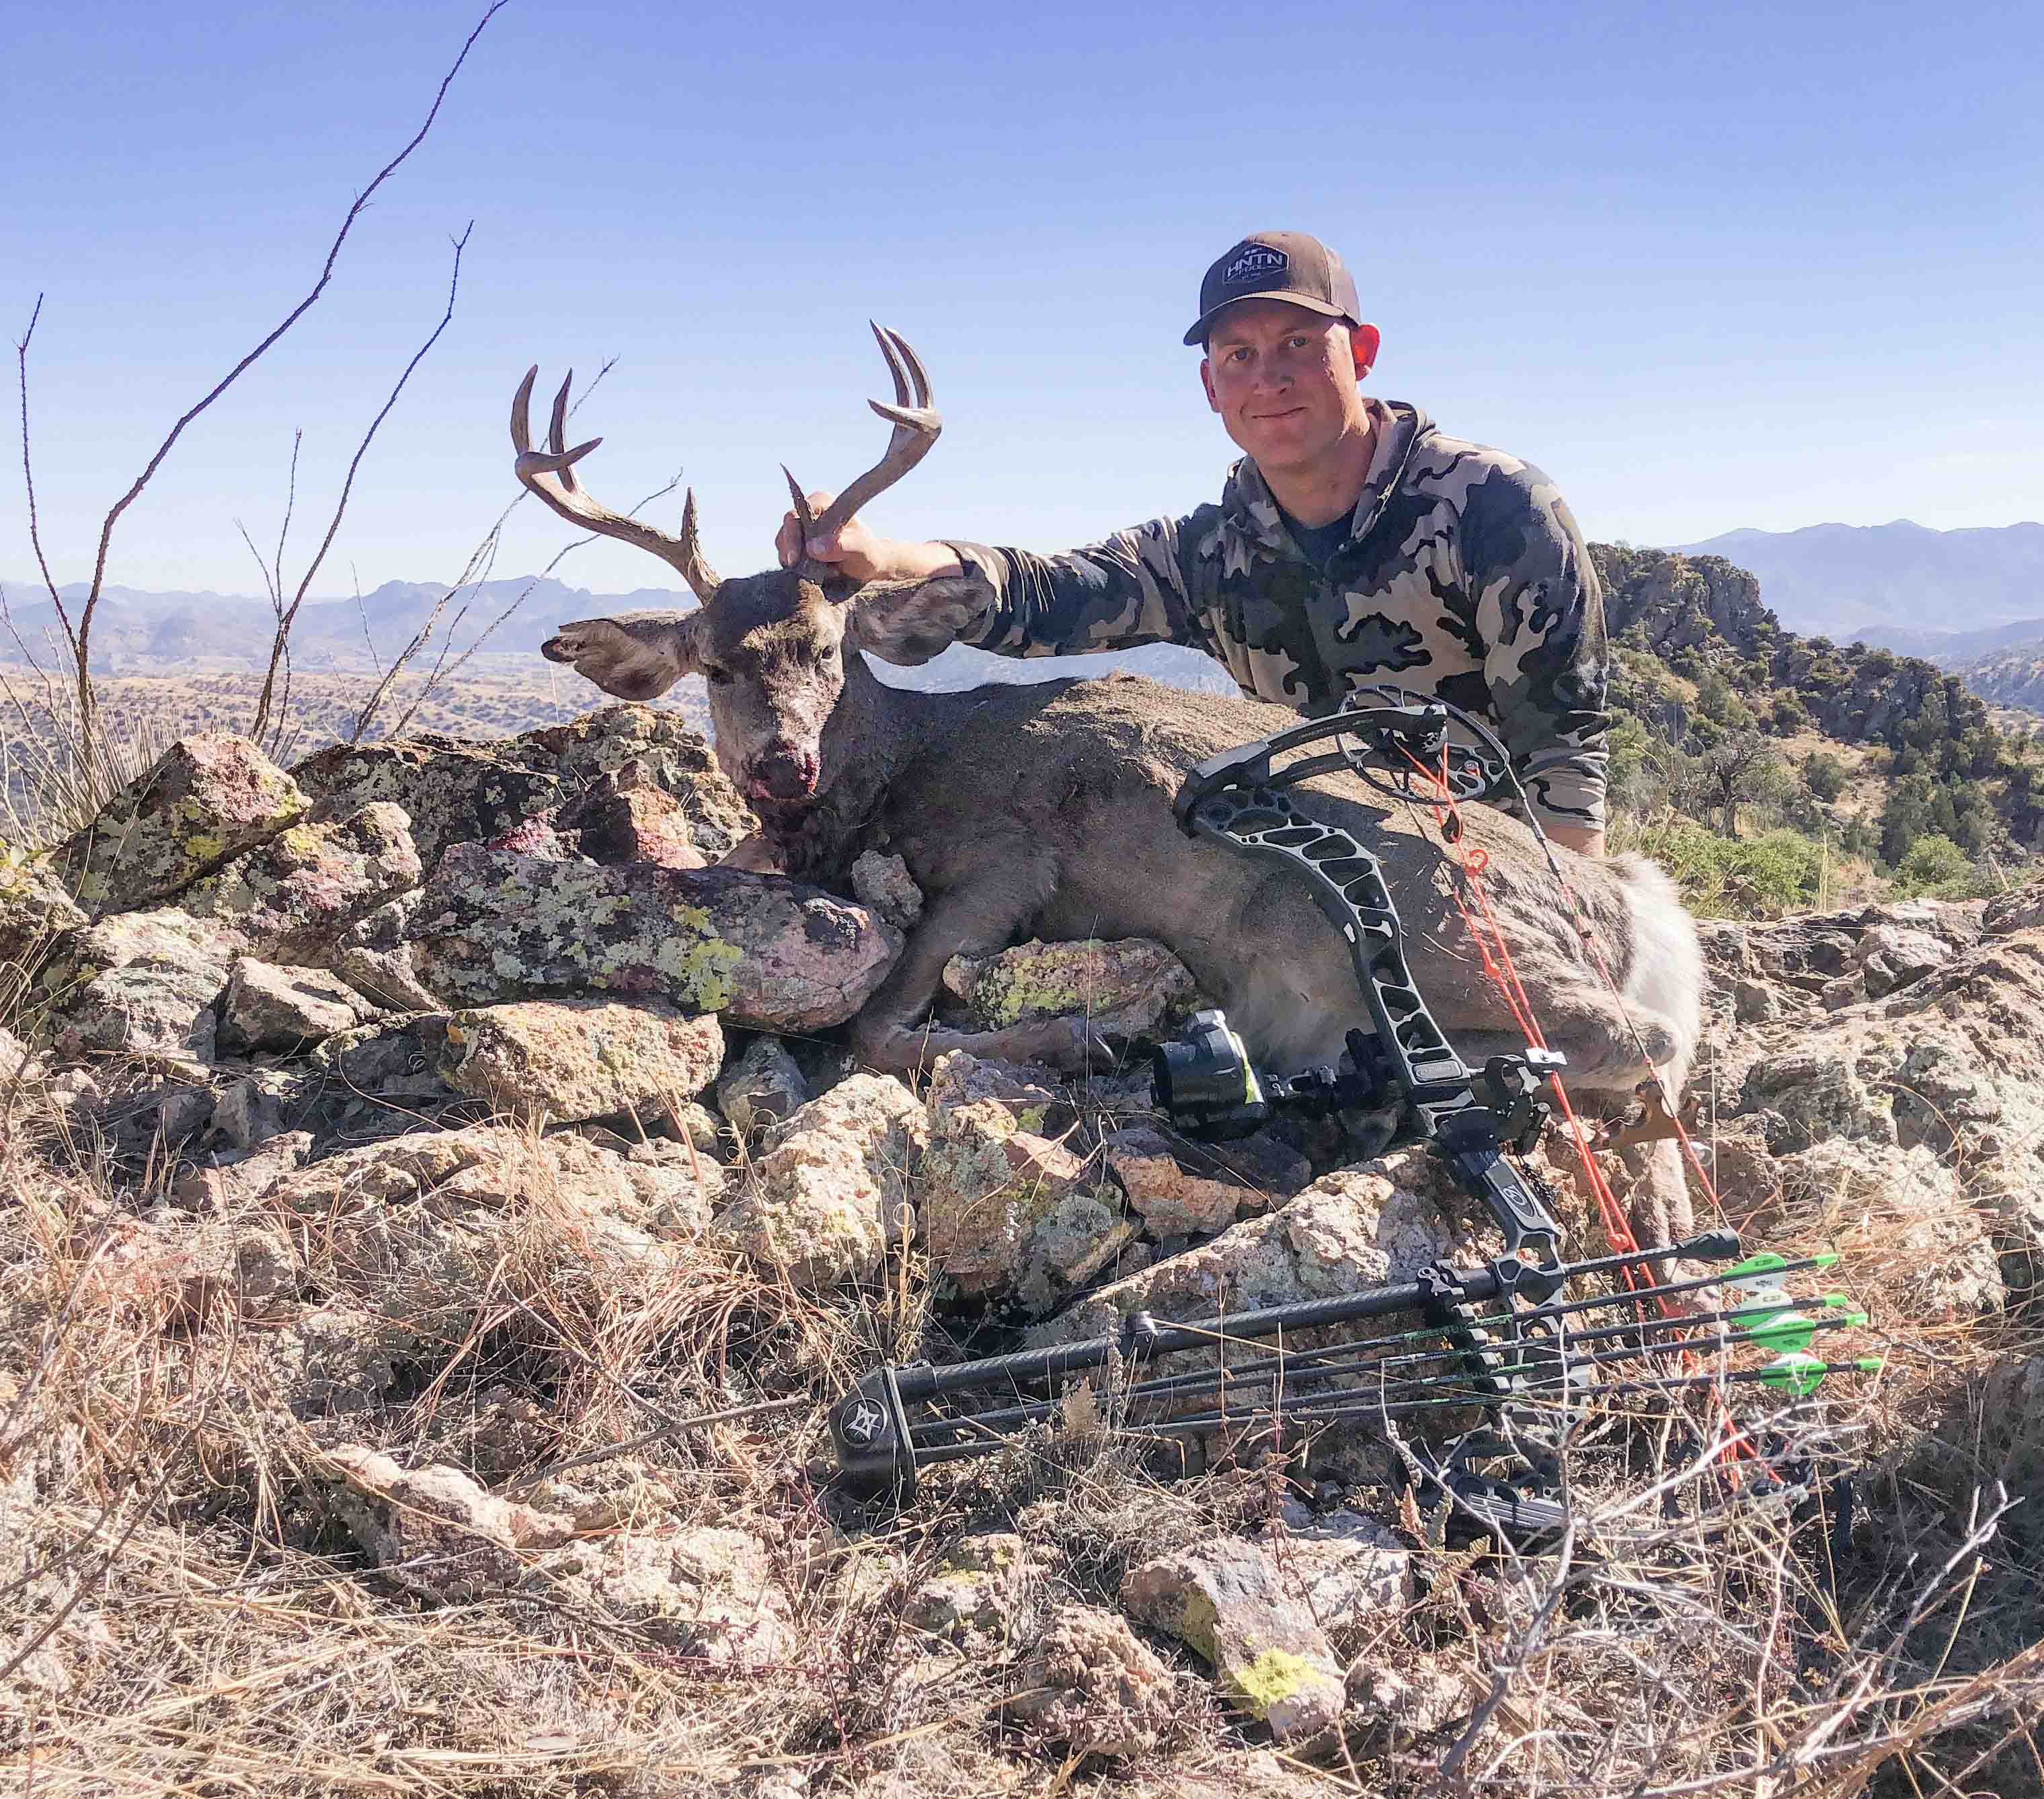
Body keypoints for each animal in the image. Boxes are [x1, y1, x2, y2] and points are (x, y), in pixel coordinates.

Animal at [511, 325, 1705, 1246]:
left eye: (828, 648)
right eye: (713, 666)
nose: (782, 762)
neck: (897, 770)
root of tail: (1623, 900)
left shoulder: (1006, 861)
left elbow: (880, 1028)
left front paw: (1077, 1036)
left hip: (1424, 929)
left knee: (1640, 1046)